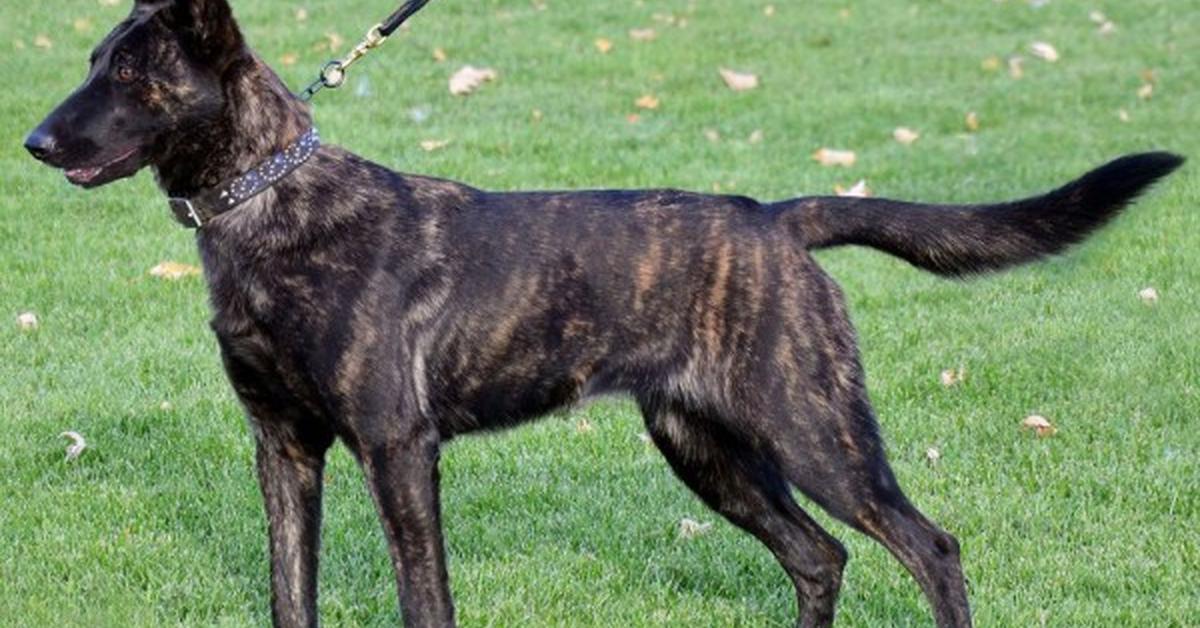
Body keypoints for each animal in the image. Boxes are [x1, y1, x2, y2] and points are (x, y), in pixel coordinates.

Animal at [25, 1, 1180, 628]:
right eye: (90, 63)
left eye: (128, 72)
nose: (33, 142)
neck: (271, 207)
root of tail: (777, 220)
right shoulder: (284, 450)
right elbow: (288, 594)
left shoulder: (397, 450)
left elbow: (424, 597)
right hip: (705, 447)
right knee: (821, 559)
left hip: (814, 435)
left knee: (928, 547)